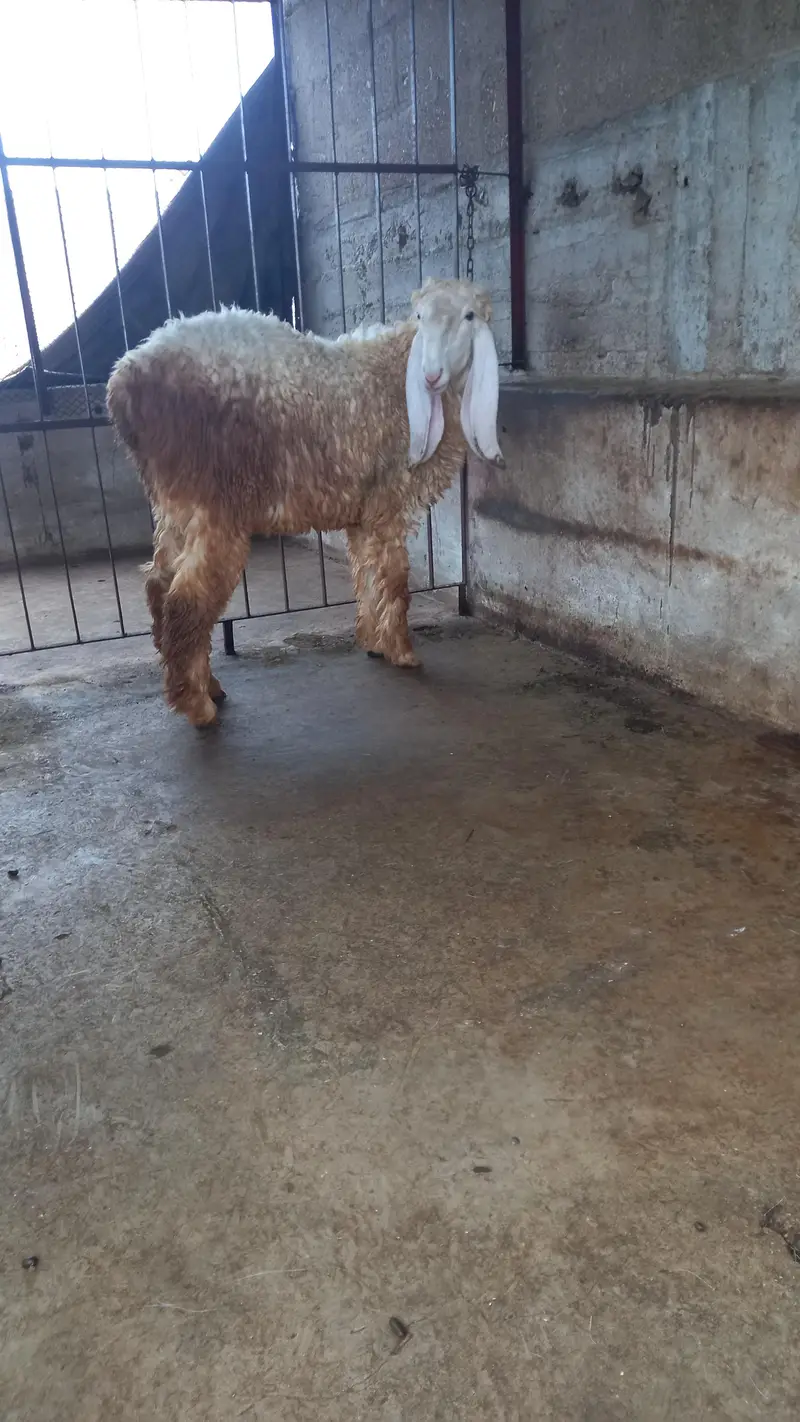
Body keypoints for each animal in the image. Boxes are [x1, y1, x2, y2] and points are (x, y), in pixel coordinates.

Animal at [106, 276, 504, 727]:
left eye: (469, 316)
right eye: (420, 317)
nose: (431, 375)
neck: (395, 374)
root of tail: (124, 379)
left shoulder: (365, 512)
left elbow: (368, 575)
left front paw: (374, 642)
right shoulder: (388, 501)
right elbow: (396, 580)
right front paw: (403, 651)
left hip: (174, 502)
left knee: (159, 583)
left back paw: (205, 687)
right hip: (215, 501)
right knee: (186, 599)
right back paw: (198, 705)